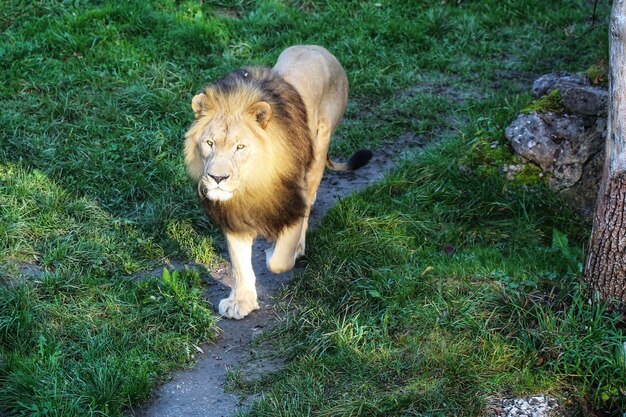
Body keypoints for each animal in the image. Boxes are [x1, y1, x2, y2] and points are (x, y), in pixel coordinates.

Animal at [183, 44, 372, 318]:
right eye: (209, 143)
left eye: (240, 147)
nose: (217, 178)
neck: (253, 182)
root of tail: (318, 48)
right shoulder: (233, 212)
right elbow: (239, 261)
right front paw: (241, 301)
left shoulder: (294, 196)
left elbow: (279, 261)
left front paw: (277, 251)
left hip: (319, 148)